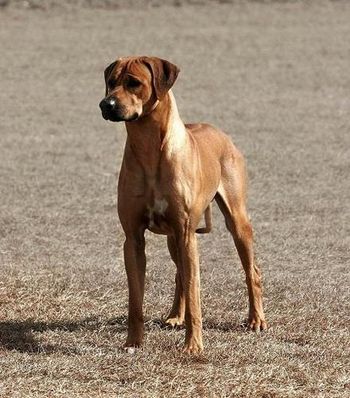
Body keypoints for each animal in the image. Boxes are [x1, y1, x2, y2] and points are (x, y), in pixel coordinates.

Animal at [98, 56, 266, 354]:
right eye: (111, 82)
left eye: (133, 82)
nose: (106, 104)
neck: (150, 149)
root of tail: (219, 131)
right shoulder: (133, 238)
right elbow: (135, 299)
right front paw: (133, 342)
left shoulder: (188, 234)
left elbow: (195, 293)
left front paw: (193, 346)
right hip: (172, 238)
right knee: (179, 275)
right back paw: (175, 315)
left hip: (235, 221)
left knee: (251, 272)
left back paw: (256, 319)